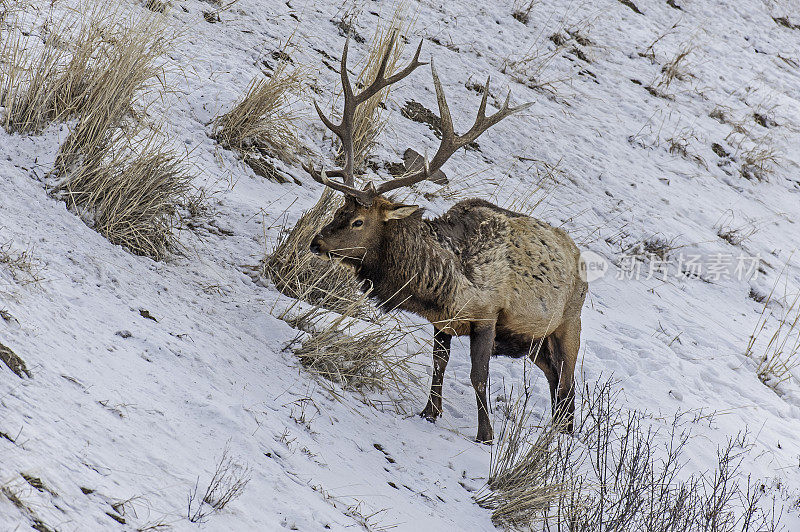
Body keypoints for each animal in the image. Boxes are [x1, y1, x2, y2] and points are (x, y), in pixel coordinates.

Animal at [304, 32, 584, 440]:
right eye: (339, 210)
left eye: (358, 221)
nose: (317, 241)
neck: (442, 285)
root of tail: (578, 256)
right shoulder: (444, 323)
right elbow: (438, 365)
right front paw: (429, 413)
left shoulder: (487, 316)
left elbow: (478, 377)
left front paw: (486, 435)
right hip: (533, 342)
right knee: (556, 384)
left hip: (567, 325)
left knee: (568, 384)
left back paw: (562, 435)